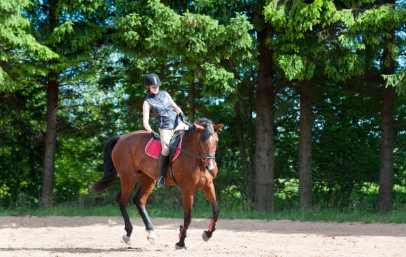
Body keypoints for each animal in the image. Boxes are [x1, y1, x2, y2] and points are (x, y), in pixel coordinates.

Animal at [89, 117, 224, 248]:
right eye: (202, 141)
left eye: (216, 141)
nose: (210, 167)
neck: (197, 160)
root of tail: (121, 137)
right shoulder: (187, 189)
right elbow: (188, 216)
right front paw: (181, 243)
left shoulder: (208, 185)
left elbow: (216, 210)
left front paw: (207, 234)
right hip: (128, 178)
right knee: (122, 200)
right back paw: (128, 234)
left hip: (147, 179)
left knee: (139, 201)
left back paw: (151, 233)